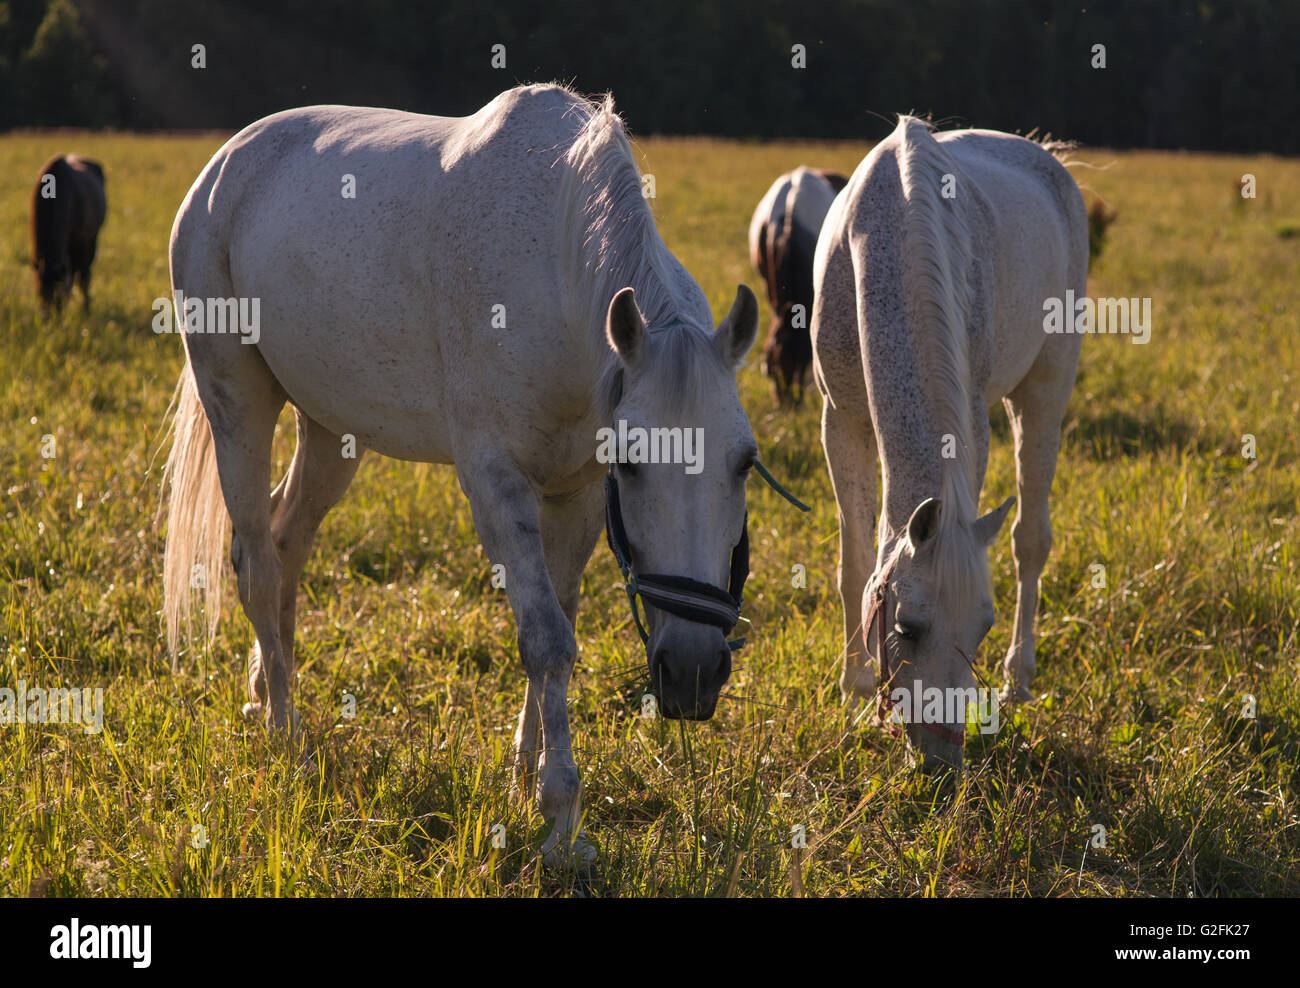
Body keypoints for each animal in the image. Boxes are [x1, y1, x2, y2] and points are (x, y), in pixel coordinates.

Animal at [30, 154, 106, 312]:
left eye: (59, 297)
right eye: (40, 295)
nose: (52, 317)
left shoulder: (82, 242)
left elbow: (82, 278)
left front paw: (85, 311)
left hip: (92, 239)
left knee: (84, 274)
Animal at [159, 84, 761, 866]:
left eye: (744, 462)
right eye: (633, 460)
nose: (693, 673)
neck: (557, 270)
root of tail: (222, 168)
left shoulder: (574, 493)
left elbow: (560, 625)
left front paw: (524, 778)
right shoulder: (496, 483)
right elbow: (545, 638)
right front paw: (562, 820)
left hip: (329, 430)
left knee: (286, 544)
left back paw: (266, 692)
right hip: (237, 401)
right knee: (256, 562)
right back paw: (284, 736)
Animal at [811, 116, 1087, 769]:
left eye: (981, 628)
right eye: (907, 627)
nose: (942, 761)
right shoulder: (840, 421)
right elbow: (853, 561)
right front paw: (852, 692)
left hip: (1047, 387)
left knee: (1030, 540)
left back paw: (1019, 681)